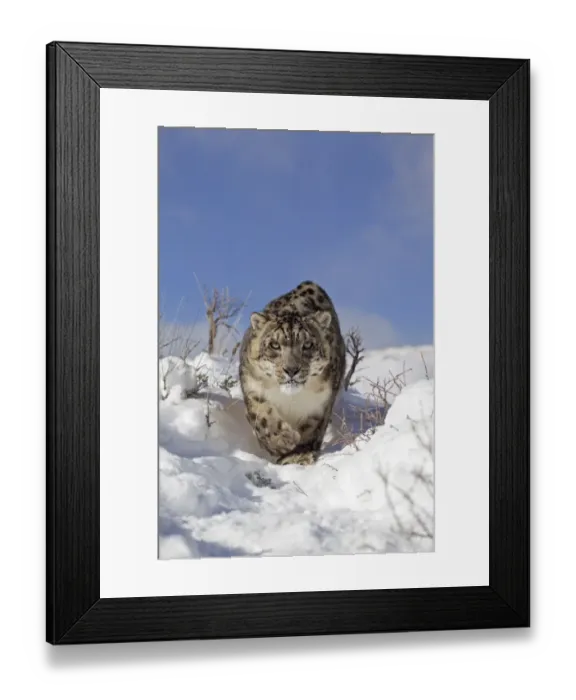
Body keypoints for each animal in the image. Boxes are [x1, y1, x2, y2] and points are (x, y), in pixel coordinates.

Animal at [239, 281, 346, 466]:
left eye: (308, 344)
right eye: (274, 345)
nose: (291, 370)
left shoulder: (321, 404)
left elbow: (312, 430)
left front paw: (298, 455)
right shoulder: (252, 387)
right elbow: (262, 417)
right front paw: (283, 441)